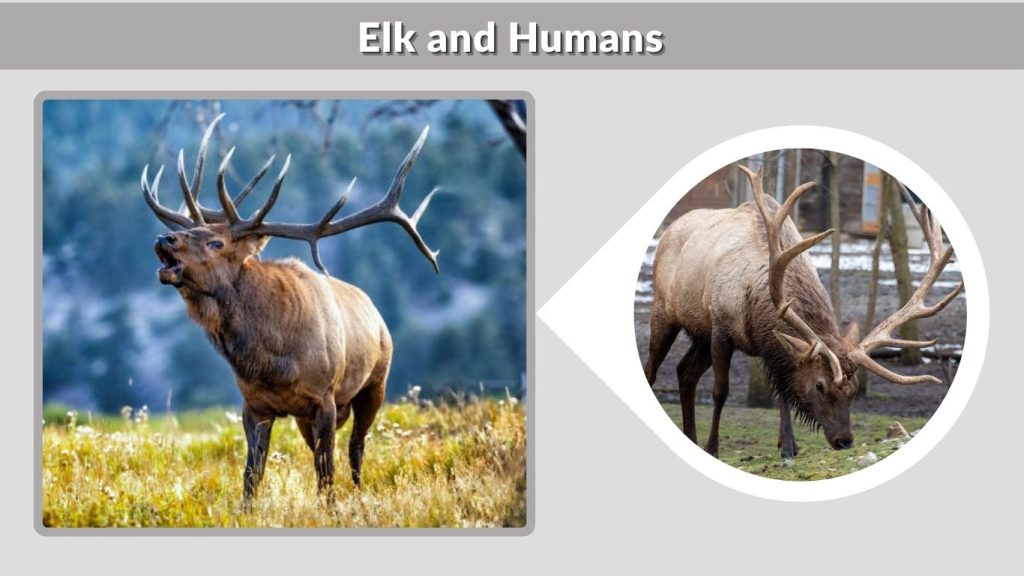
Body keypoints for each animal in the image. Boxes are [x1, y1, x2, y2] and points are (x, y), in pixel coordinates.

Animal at [142, 114, 439, 504]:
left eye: (216, 242)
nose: (164, 237)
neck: (272, 360)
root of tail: (376, 314)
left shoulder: (324, 398)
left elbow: (326, 473)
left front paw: (331, 508)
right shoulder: (254, 405)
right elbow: (252, 475)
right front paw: (247, 509)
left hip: (375, 384)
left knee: (356, 448)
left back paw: (359, 494)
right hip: (304, 417)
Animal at [644, 163, 963, 458]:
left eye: (855, 388)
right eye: (820, 386)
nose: (844, 441)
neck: (757, 308)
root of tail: (669, 229)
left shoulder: (772, 348)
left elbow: (783, 391)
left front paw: (788, 446)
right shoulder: (721, 328)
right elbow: (720, 391)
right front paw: (713, 449)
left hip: (699, 333)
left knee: (684, 372)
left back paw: (690, 437)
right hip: (665, 312)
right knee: (652, 369)